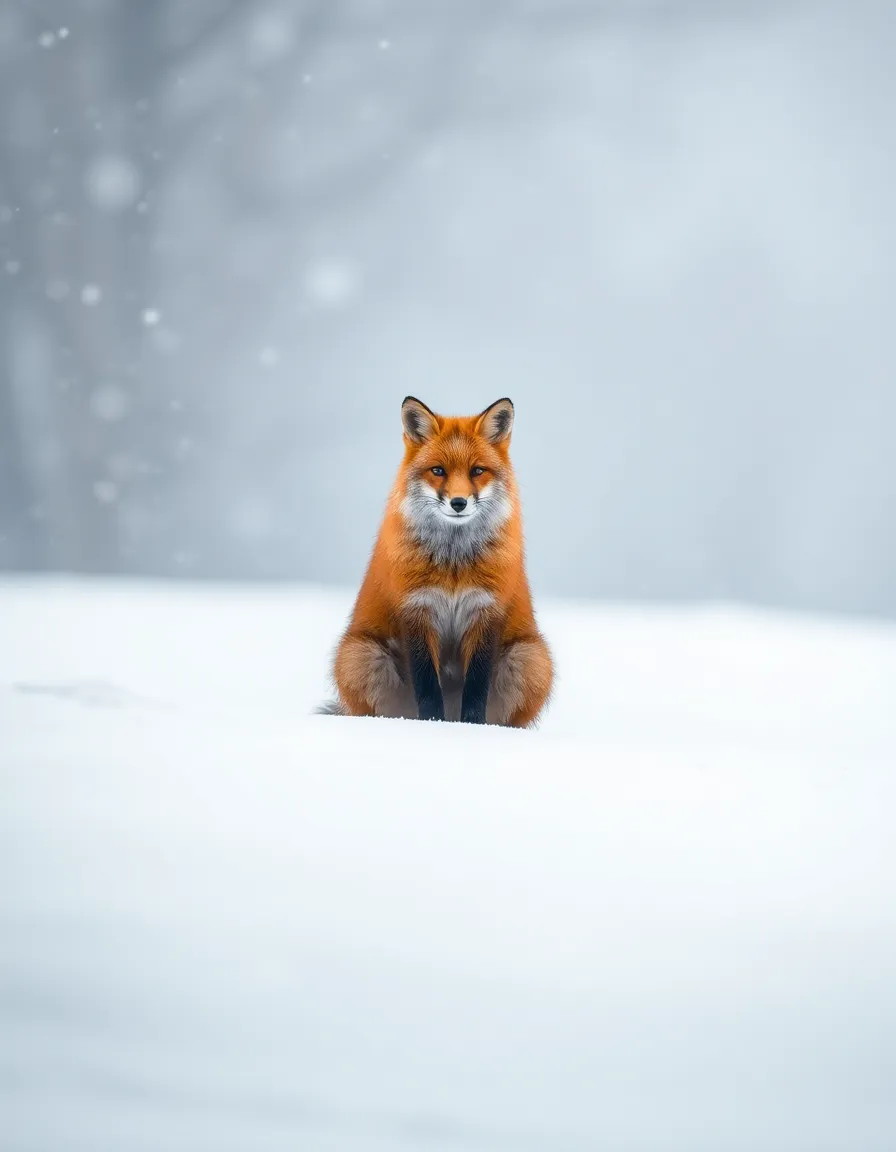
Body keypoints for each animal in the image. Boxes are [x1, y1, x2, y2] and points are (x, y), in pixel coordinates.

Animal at [321, 396, 554, 726]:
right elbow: (427, 684)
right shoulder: (416, 609)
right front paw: (433, 726)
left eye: (477, 470)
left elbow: (477, 686)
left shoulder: (485, 611)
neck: (453, 566)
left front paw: (472, 727)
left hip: (531, 658)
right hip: (359, 655)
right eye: (438, 470)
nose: (458, 503)